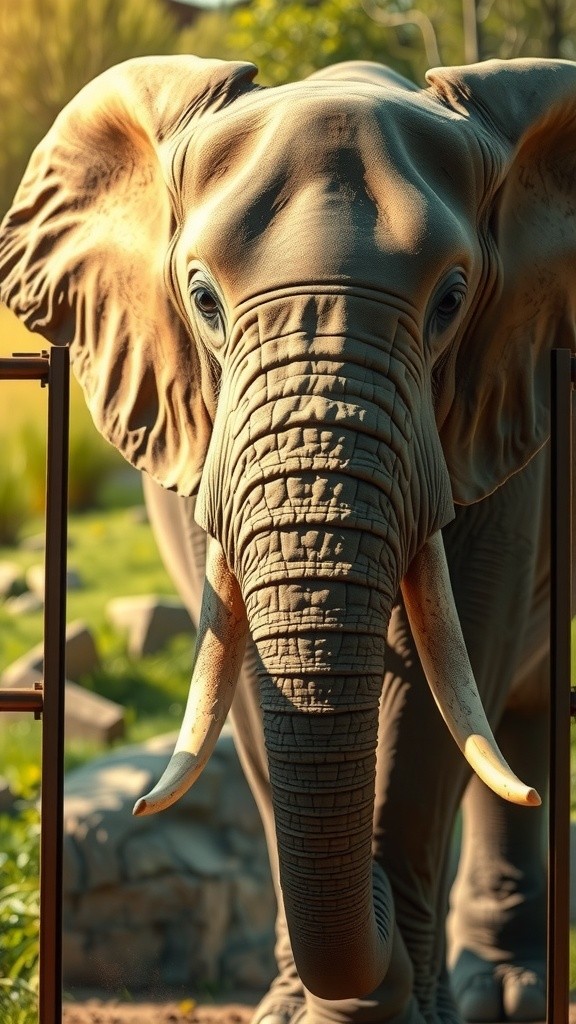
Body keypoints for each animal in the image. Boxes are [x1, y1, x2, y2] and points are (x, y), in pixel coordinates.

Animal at [1, 52, 574, 1024]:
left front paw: (403, 1011)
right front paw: (296, 1013)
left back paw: (506, 989)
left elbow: (435, 707)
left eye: (453, 299)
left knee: (510, 715)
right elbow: (238, 687)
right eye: (202, 299)